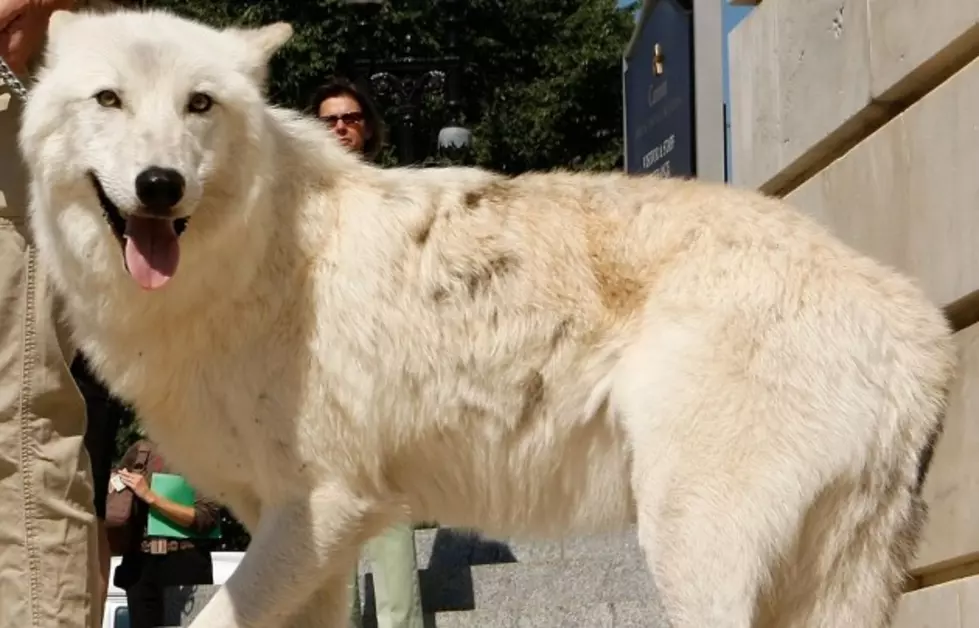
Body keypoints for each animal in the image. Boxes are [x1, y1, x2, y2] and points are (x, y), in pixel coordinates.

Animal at [21, 8, 956, 628]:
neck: (250, 265)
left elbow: (210, 616)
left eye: (199, 105)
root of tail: (922, 324)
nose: (159, 186)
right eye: (107, 99)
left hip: (696, 552)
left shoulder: (328, 509)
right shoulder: (300, 534)